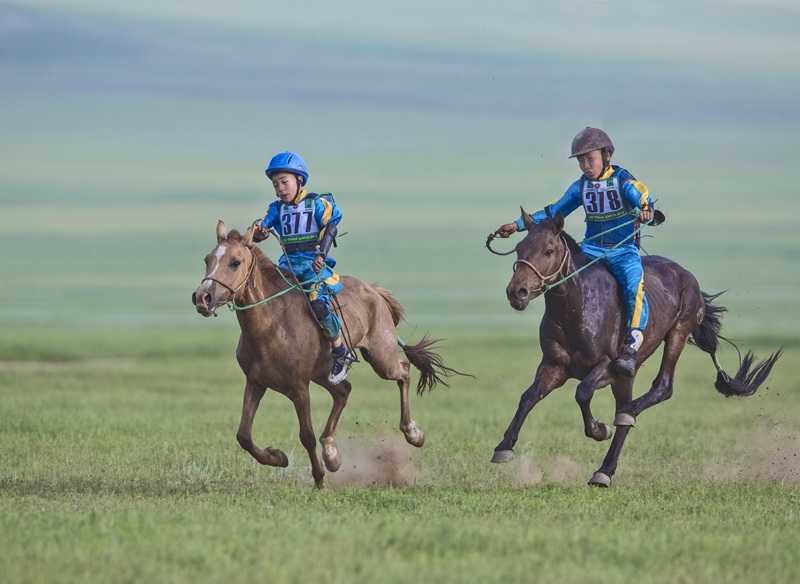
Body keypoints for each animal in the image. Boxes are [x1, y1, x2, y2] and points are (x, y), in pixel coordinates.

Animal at [192, 220, 461, 489]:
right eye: (207, 259)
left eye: (235, 262)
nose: (202, 297)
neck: (273, 324)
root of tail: (373, 291)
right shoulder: (256, 382)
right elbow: (244, 435)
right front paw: (278, 457)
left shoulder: (299, 388)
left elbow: (306, 435)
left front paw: (319, 479)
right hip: (323, 373)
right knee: (344, 391)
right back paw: (332, 454)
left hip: (381, 358)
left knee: (403, 370)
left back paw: (413, 433)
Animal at [490, 210, 782, 487]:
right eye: (519, 248)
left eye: (548, 250)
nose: (517, 292)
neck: (577, 308)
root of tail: (686, 276)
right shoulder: (554, 366)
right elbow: (528, 397)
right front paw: (503, 447)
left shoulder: (609, 365)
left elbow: (582, 392)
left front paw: (599, 429)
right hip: (627, 375)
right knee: (626, 407)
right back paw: (604, 470)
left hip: (676, 334)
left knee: (660, 389)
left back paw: (623, 424)